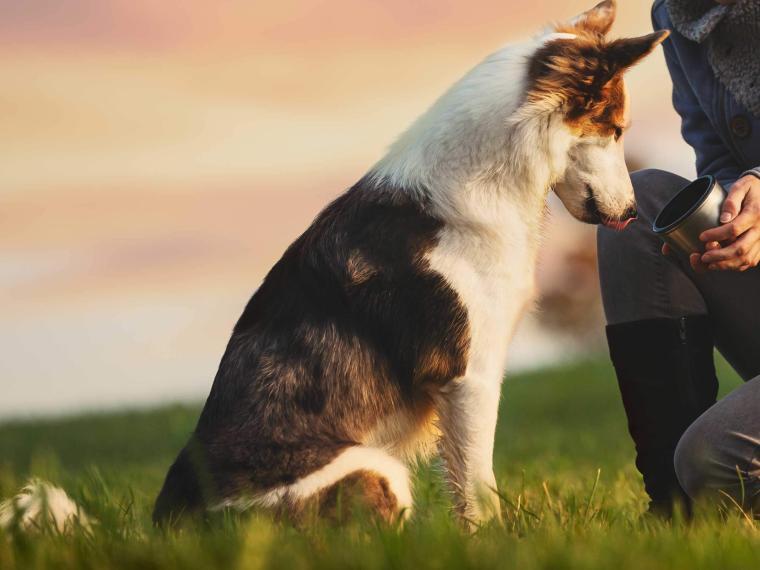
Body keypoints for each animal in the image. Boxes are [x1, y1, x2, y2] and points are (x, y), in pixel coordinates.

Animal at [153, 0, 664, 524]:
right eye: (616, 130)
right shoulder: (470, 378)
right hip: (375, 469)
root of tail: (173, 522)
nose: (632, 213)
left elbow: (463, 489)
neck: (487, 178)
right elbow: (479, 488)